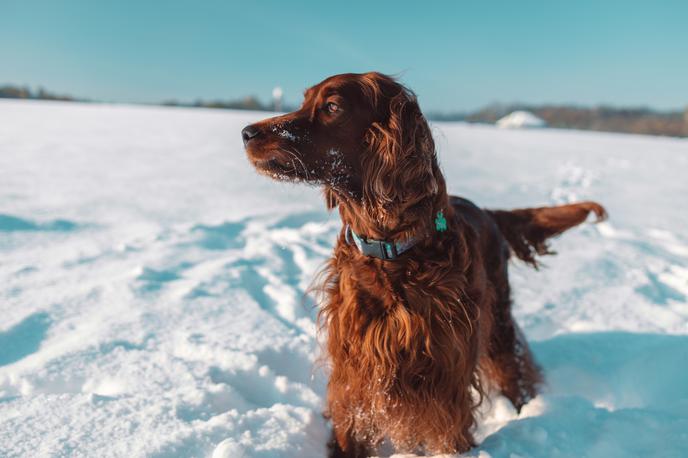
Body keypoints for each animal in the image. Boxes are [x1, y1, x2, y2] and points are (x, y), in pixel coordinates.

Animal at [242, 71, 608, 454]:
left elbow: (450, 433)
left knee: (515, 372)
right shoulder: (354, 368)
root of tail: (486, 211)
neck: (390, 251)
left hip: (498, 324)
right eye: (304, 101)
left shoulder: (444, 376)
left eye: (331, 106)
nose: (247, 132)